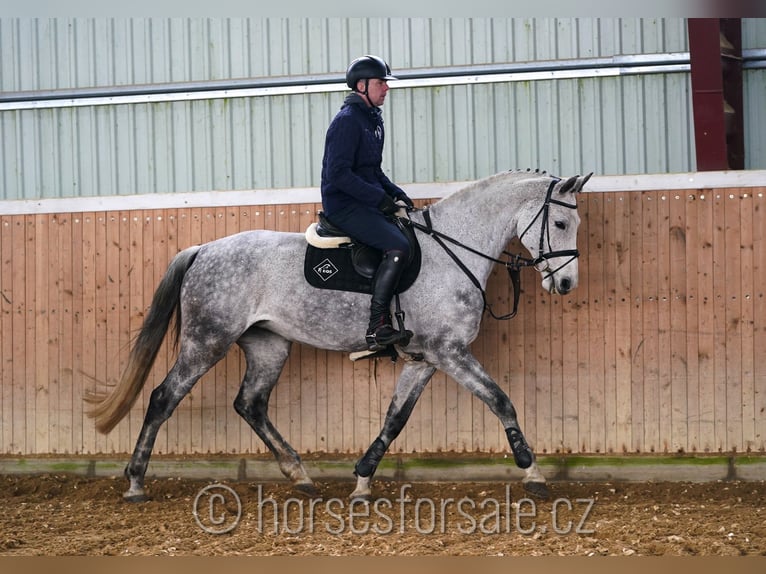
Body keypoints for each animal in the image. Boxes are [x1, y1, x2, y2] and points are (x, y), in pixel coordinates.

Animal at [88, 170, 592, 504]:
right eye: (560, 224)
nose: (567, 284)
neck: (452, 250)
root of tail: (204, 249)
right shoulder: (449, 352)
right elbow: (500, 400)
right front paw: (533, 473)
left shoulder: (424, 358)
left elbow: (395, 419)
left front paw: (364, 479)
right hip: (207, 340)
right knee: (163, 397)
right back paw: (135, 482)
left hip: (267, 345)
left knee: (250, 404)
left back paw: (301, 475)